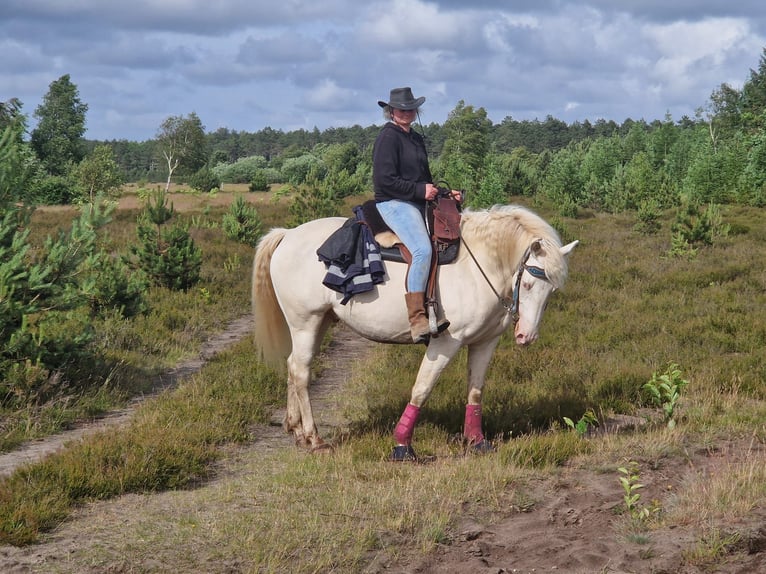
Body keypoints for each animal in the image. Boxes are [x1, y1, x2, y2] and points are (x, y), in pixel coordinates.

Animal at [255, 205, 580, 462]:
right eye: (527, 284)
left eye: (551, 290)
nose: (527, 336)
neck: (480, 267)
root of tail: (287, 234)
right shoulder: (446, 342)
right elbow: (422, 388)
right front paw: (402, 445)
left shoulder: (485, 342)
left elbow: (475, 390)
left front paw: (476, 441)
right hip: (305, 322)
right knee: (301, 371)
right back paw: (314, 439)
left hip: (320, 321)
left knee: (293, 366)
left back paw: (296, 429)